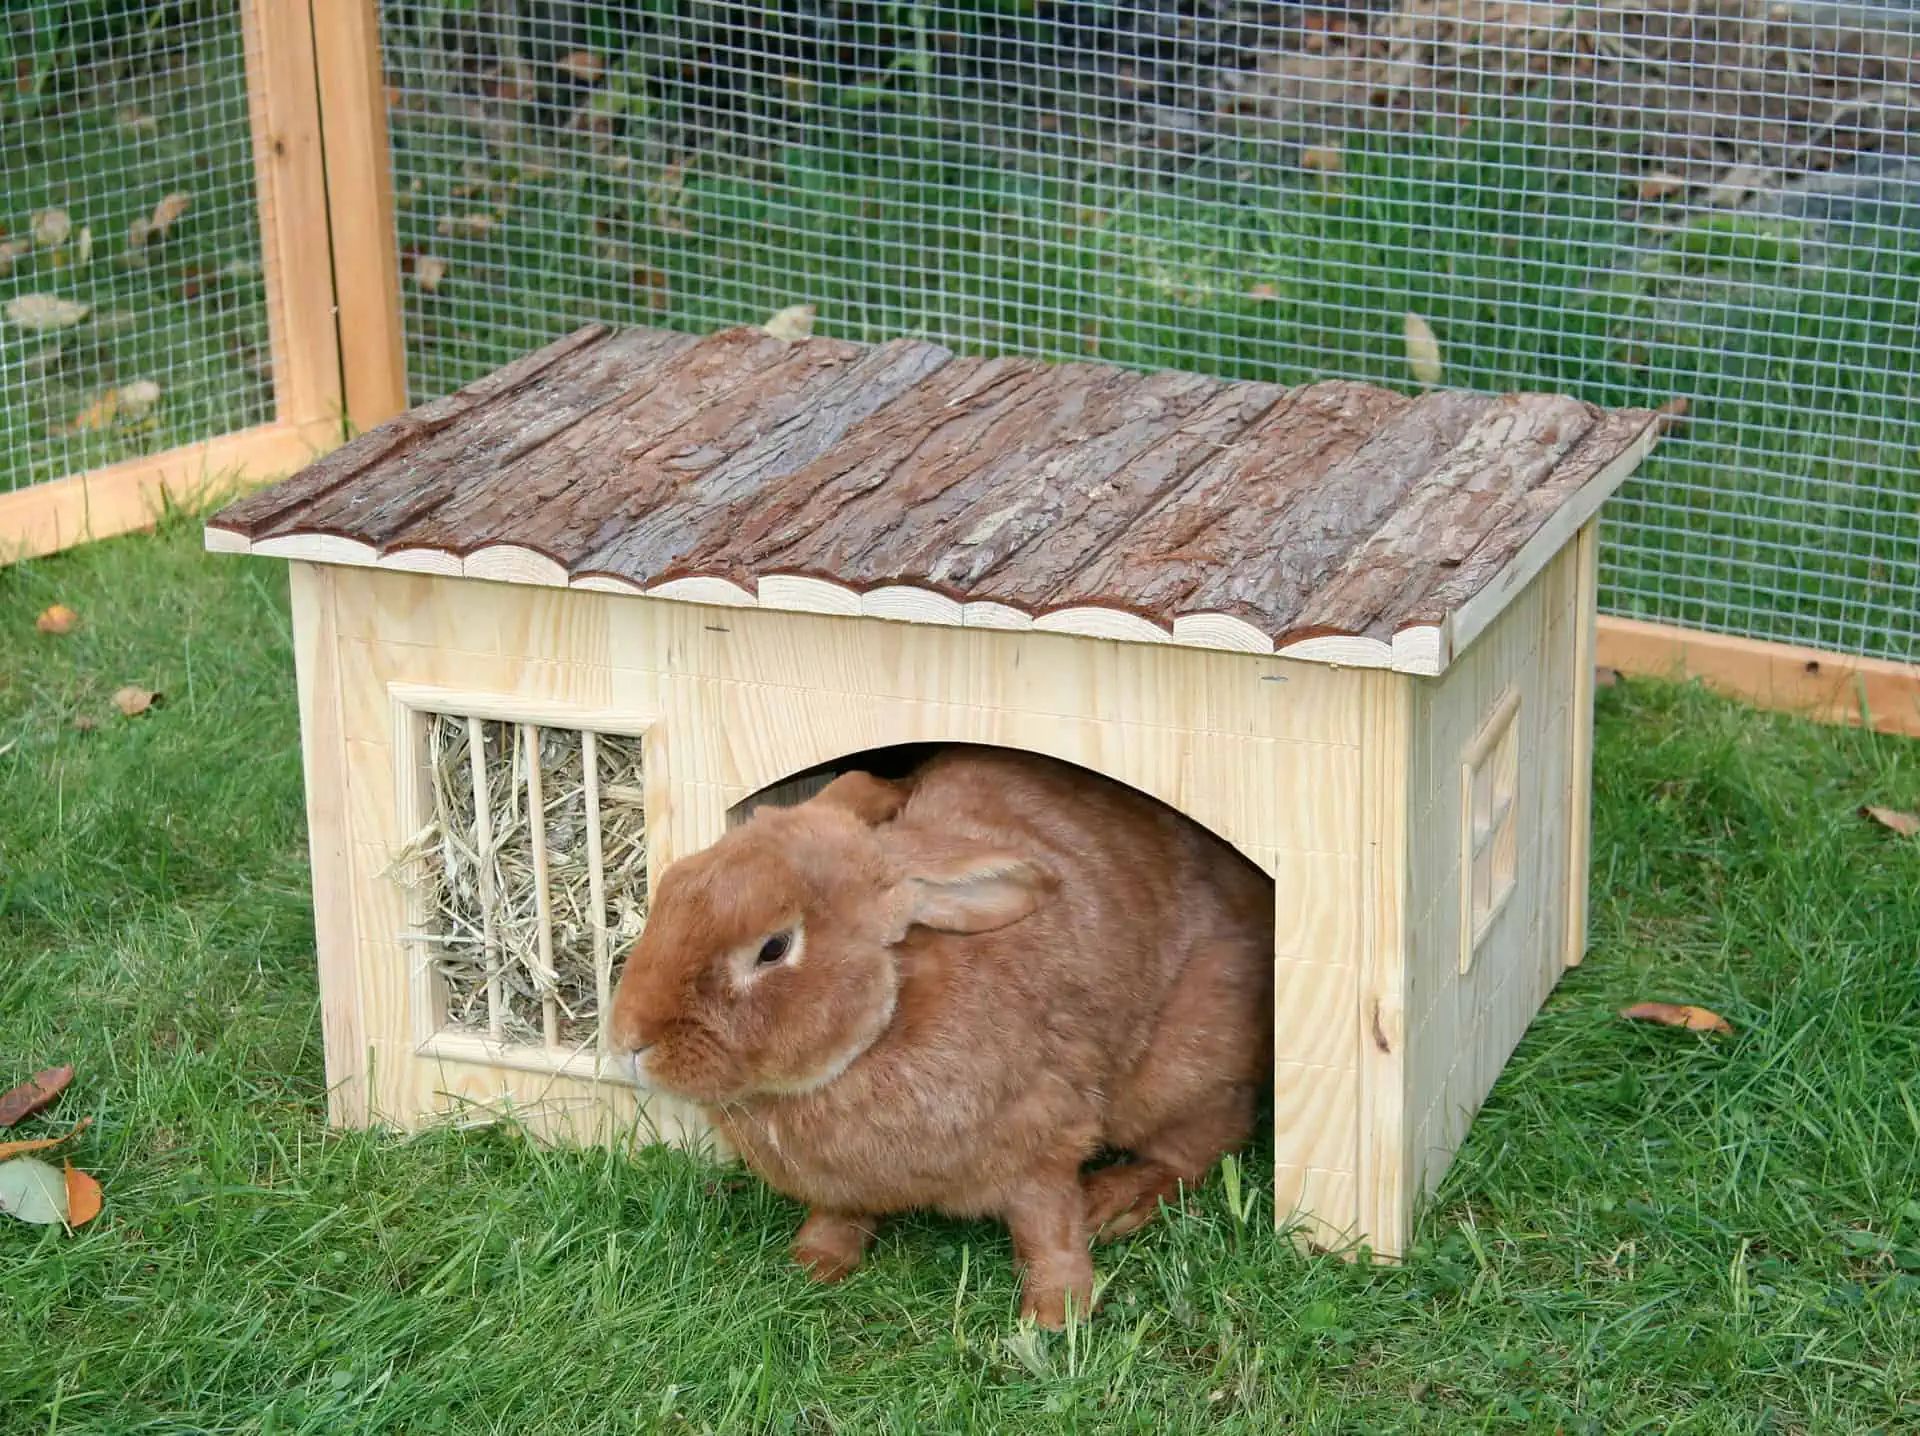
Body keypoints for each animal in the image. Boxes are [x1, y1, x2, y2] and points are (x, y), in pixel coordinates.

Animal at [606, 744, 1274, 1327]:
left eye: (773, 948)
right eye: (673, 887)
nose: (630, 1042)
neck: (880, 1028)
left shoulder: (1044, 1136)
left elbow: (1049, 1228)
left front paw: (1055, 1318)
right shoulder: (846, 1186)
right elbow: (839, 1215)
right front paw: (812, 1263)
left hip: (1184, 1066)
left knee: (1198, 1147)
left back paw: (1113, 1201)